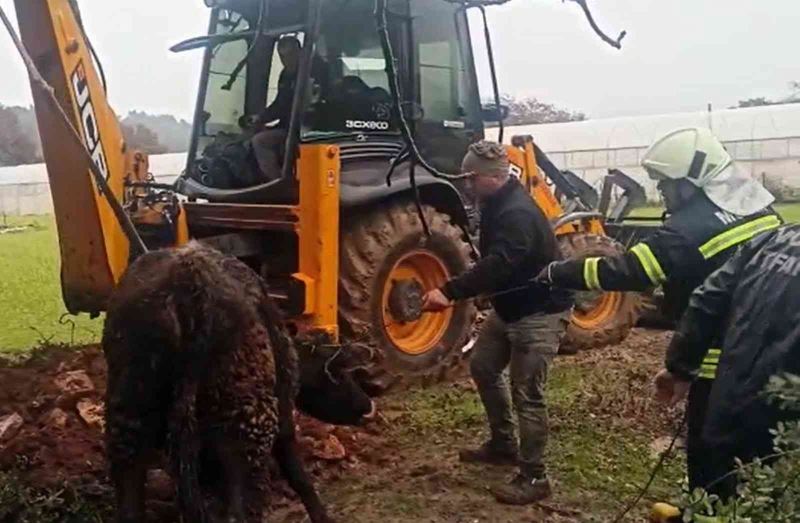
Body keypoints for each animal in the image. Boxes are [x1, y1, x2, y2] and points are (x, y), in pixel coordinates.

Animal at [103, 245, 376, 523]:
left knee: (131, 504)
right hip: (248, 431)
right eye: (337, 372)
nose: (367, 406)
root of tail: (189, 279)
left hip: (130, 418)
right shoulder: (283, 414)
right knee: (240, 511)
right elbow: (299, 476)